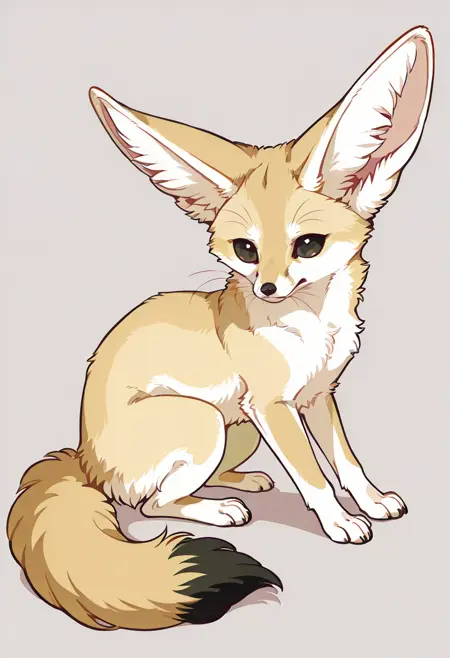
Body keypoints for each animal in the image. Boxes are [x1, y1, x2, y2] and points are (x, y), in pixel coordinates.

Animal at [7, 26, 434, 631]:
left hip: (240, 428)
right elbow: (315, 475)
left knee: (176, 488)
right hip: (206, 421)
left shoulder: (317, 396)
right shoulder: (274, 406)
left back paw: (240, 483)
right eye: (245, 250)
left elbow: (346, 462)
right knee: (150, 503)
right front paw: (340, 522)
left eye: (308, 245)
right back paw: (220, 508)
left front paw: (371, 501)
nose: (268, 289)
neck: (313, 330)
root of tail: (84, 458)